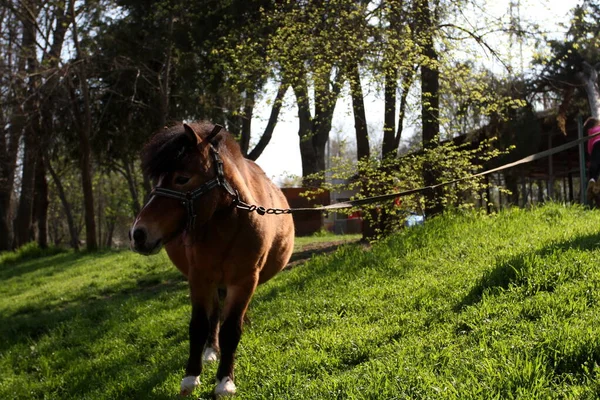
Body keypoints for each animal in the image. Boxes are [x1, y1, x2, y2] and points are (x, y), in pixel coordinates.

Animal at [130, 121, 294, 396]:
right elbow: (198, 325)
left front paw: (225, 380)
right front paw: (191, 376)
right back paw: (210, 351)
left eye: (182, 178)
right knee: (214, 315)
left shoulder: (244, 281)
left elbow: (231, 329)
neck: (229, 225)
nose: (138, 234)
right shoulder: (199, 278)